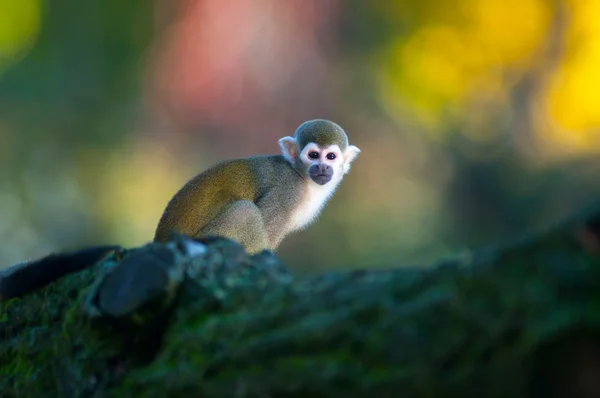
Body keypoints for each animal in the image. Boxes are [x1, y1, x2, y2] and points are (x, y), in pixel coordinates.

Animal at [155, 119, 360, 255]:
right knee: (246, 212)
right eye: (313, 155)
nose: (322, 168)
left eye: (330, 157)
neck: (303, 178)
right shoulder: (288, 191)